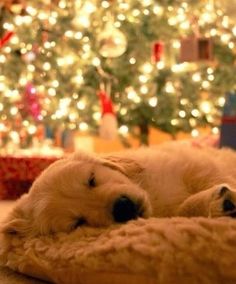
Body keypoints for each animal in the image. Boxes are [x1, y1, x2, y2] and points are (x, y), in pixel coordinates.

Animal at [1, 142, 236, 237]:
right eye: (78, 223)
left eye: (92, 179)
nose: (123, 208)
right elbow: (184, 209)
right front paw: (219, 203)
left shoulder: (194, 165)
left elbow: (210, 178)